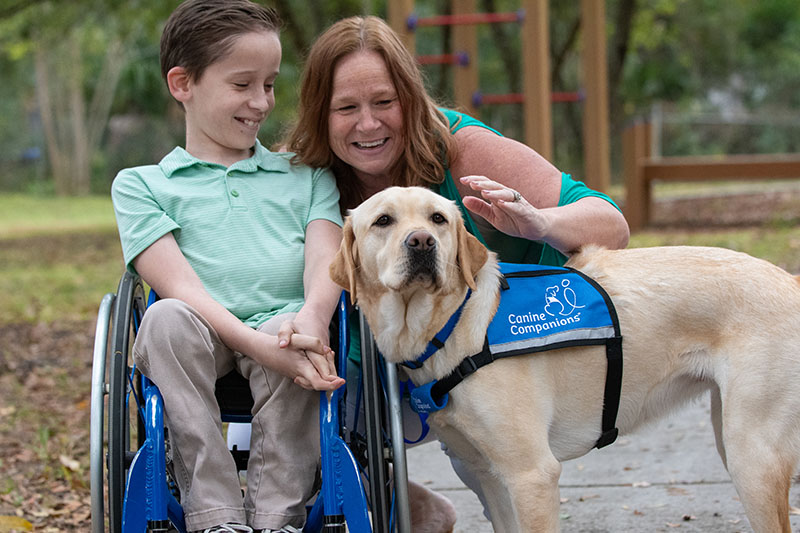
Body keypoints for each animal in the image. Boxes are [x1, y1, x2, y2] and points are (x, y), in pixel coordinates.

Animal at [330, 185, 800, 528]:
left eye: (438, 219)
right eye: (383, 221)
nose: (422, 242)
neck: (453, 324)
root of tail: (789, 279)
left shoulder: (533, 475)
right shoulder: (491, 477)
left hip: (751, 455)